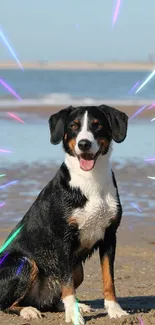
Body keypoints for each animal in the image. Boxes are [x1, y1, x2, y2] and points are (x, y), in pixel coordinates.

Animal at [0, 104, 128, 324]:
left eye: (97, 125)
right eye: (74, 126)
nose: (84, 144)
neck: (90, 180)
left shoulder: (109, 237)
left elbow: (108, 279)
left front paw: (114, 310)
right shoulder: (63, 240)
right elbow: (67, 285)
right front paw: (74, 316)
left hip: (78, 269)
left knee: (53, 300)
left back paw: (78, 306)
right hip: (24, 262)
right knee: (7, 304)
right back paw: (30, 310)